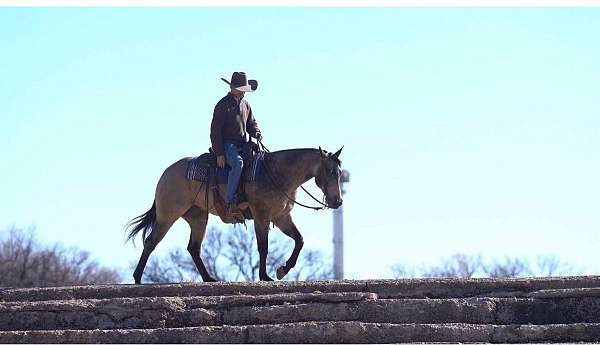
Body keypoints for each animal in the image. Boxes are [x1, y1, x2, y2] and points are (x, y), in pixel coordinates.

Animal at [124, 145, 344, 282]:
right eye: (329, 170)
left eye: (340, 172)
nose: (337, 201)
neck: (277, 173)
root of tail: (167, 173)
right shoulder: (262, 215)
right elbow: (263, 247)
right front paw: (265, 276)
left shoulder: (281, 217)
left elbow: (299, 240)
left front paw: (283, 269)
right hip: (167, 216)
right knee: (151, 242)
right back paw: (137, 277)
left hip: (198, 218)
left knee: (193, 248)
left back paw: (209, 278)